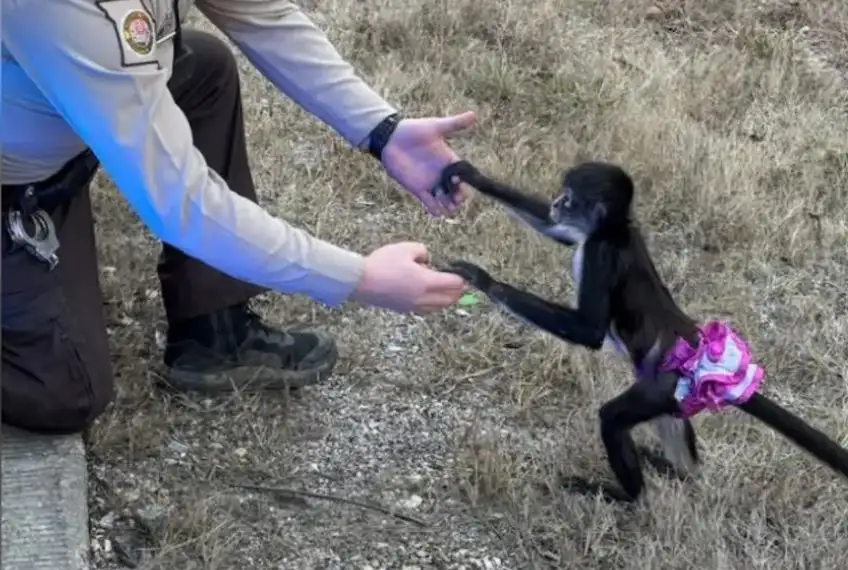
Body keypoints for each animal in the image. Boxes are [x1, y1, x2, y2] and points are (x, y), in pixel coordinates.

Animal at [438, 159, 848, 502]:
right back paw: (679, 474)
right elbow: (559, 233)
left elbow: (588, 331)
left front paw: (484, 280)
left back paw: (627, 497)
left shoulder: (600, 253)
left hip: (661, 387)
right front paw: (472, 175)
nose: (555, 203)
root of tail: (699, 347)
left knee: (613, 418)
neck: (616, 231)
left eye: (568, 198)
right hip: (674, 394)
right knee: (672, 429)